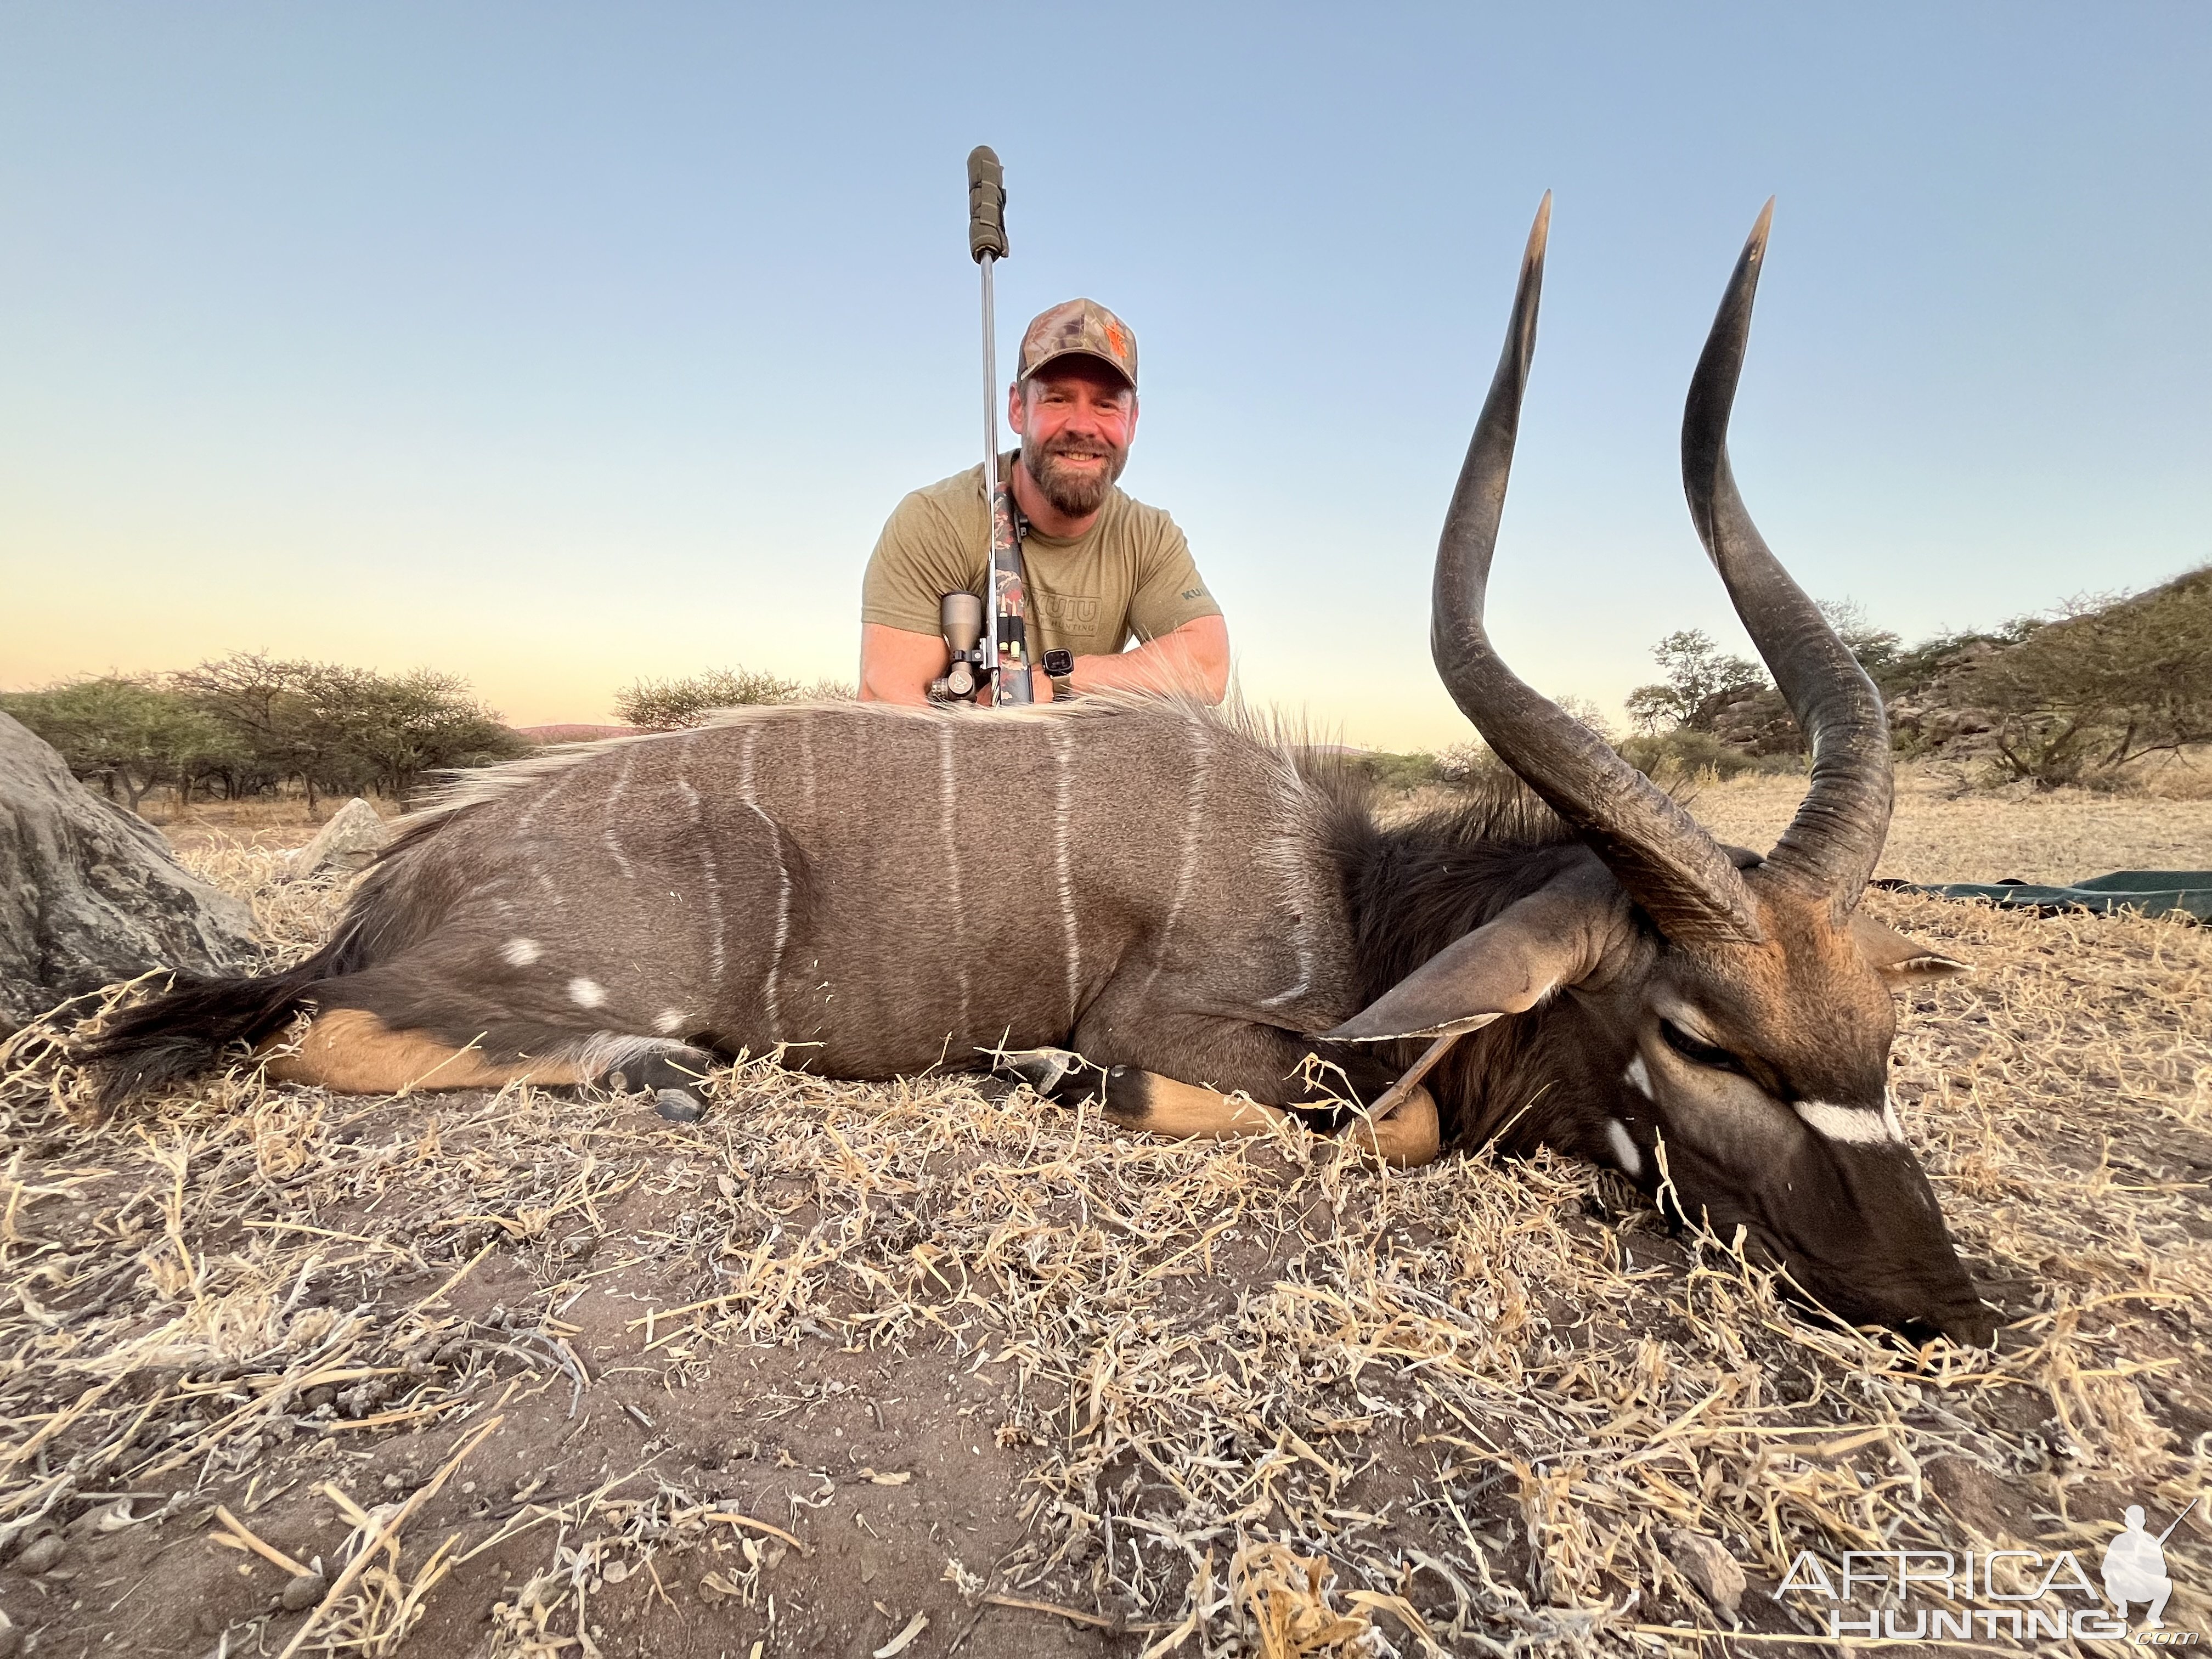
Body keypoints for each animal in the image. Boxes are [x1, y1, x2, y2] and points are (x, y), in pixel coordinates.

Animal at [82, 204, 1990, 1353]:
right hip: (588, 985)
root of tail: (398, 876)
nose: (1948, 1303)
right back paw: (649, 1074)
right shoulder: (1206, 1034)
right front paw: (1052, 1079)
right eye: (1702, 1039)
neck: (1359, 898)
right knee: (312, 1034)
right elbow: (1372, 1121)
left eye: (1885, 1035)